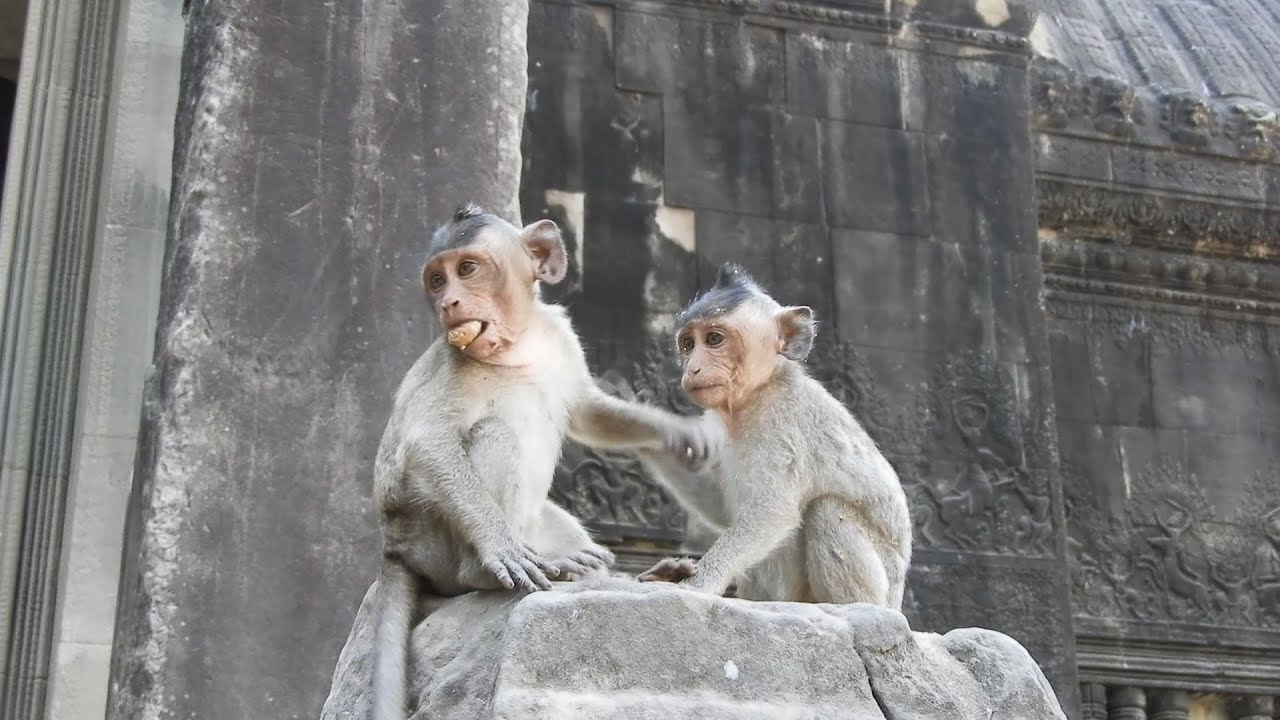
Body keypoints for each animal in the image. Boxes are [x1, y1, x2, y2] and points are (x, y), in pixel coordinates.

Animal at [370, 204, 716, 720]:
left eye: (465, 269)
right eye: (436, 279)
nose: (449, 303)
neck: (519, 344)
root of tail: (395, 547)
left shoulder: (561, 337)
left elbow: (587, 410)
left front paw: (679, 433)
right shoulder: (454, 362)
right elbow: (427, 442)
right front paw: (499, 549)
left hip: (536, 523)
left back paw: (621, 572)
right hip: (434, 541)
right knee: (494, 438)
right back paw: (488, 571)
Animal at [635, 263, 912, 608]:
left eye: (713, 339)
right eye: (688, 344)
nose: (693, 368)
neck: (756, 395)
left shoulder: (783, 421)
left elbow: (773, 509)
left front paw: (698, 585)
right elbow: (722, 508)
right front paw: (646, 427)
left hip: (879, 587)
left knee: (825, 511)